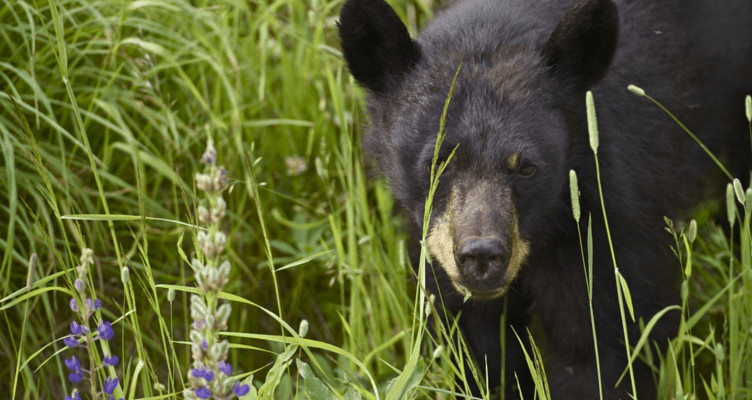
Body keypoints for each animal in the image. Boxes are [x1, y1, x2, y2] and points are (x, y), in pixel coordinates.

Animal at [338, 0, 752, 398]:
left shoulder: (605, 227)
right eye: (437, 163)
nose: (481, 257)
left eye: (526, 168)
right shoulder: (437, 253)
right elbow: (477, 352)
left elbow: (604, 346)